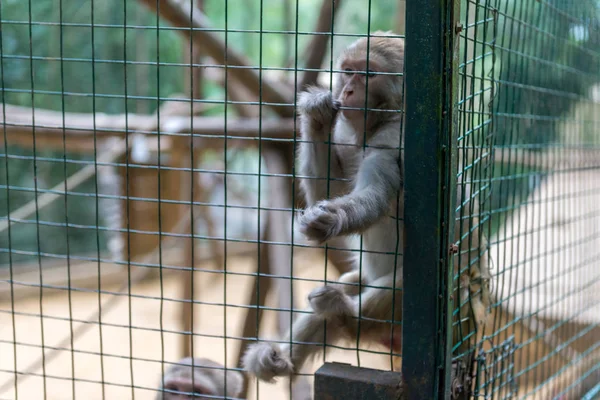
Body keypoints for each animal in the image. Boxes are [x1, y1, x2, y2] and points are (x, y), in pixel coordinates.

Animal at [241, 30, 490, 382]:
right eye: (347, 71)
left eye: (369, 74)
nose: (347, 90)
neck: (386, 117)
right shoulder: (348, 137)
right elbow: (330, 188)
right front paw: (316, 116)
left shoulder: (394, 142)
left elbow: (374, 196)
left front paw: (331, 220)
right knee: (350, 283)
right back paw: (279, 359)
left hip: (462, 315)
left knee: (410, 285)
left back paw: (348, 316)